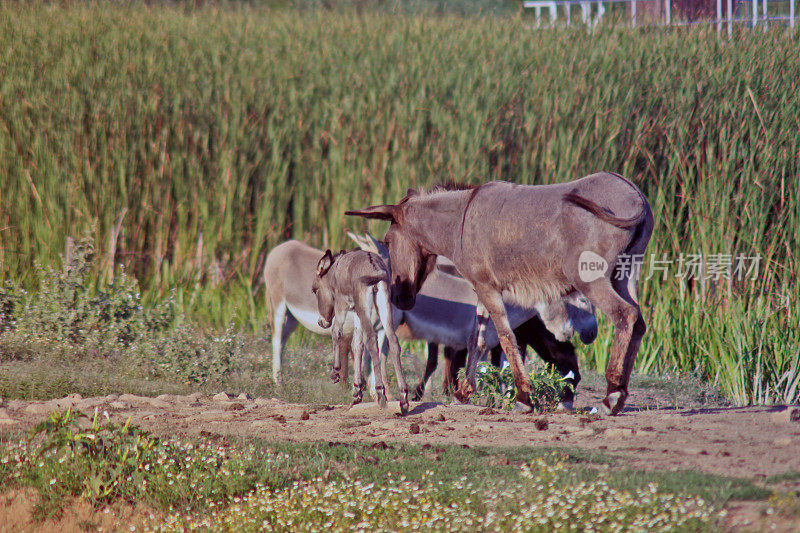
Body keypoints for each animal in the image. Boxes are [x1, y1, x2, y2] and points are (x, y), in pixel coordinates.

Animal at [312, 249, 410, 416]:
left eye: (315, 290)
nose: (321, 322)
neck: (336, 271)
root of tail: (374, 267)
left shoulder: (341, 305)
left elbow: (337, 332)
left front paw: (335, 373)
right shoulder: (356, 311)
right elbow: (357, 345)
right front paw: (357, 392)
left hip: (366, 307)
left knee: (371, 339)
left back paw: (381, 393)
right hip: (383, 306)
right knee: (393, 341)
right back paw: (403, 399)